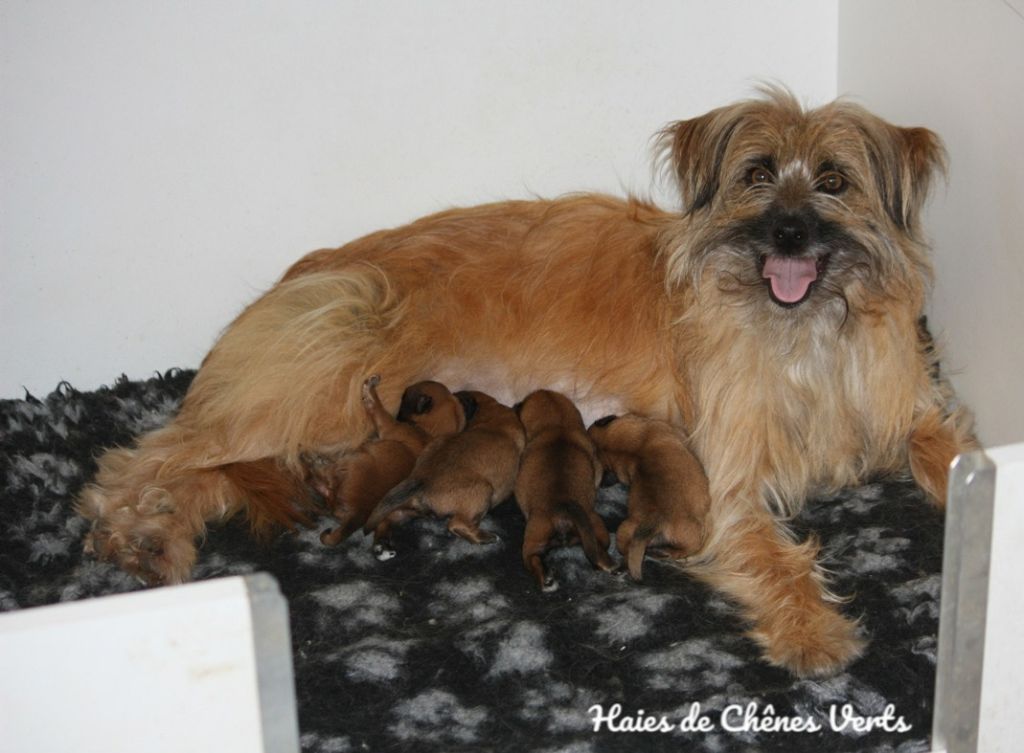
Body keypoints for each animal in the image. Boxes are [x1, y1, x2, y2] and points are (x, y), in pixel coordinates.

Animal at [303, 377, 464, 549]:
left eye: (405, 395)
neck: (429, 432)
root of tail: (359, 512)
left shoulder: (387, 424)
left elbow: (376, 407)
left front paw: (370, 390)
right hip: (394, 512)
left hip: (354, 459)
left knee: (319, 478)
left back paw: (311, 459)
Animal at [362, 391, 524, 549]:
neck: (490, 410)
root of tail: (422, 479)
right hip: (483, 492)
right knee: (456, 524)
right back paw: (484, 537)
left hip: (409, 509)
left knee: (388, 517)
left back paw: (381, 543)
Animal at [512, 391, 614, 590]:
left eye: (523, 403)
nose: (514, 405)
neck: (557, 427)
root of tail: (564, 508)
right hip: (595, 527)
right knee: (599, 550)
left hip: (534, 535)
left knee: (532, 558)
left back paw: (545, 578)